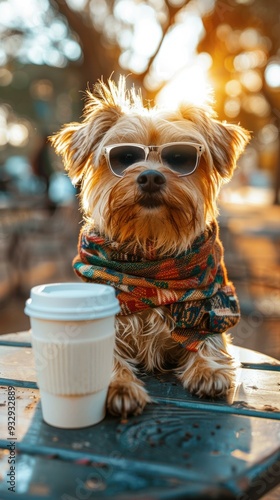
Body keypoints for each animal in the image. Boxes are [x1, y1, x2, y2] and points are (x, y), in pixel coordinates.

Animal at [50, 75, 252, 418]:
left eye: (181, 157)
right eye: (125, 157)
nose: (150, 177)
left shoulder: (211, 309)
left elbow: (209, 339)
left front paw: (208, 368)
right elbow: (106, 357)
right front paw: (120, 386)